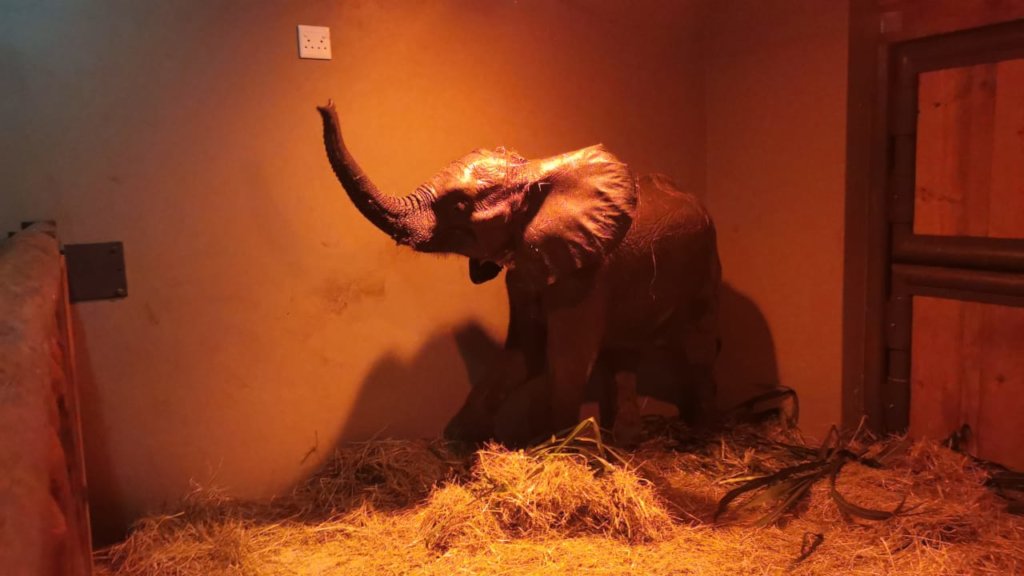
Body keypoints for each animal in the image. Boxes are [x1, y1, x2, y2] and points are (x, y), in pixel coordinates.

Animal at [316, 100, 721, 445]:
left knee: (699, 349)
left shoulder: (589, 275)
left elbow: (568, 360)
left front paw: (562, 453)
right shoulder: (527, 270)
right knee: (626, 355)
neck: (534, 174)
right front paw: (457, 442)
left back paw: (700, 437)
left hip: (707, 269)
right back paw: (627, 443)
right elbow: (525, 352)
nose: (325, 106)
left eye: (459, 206)